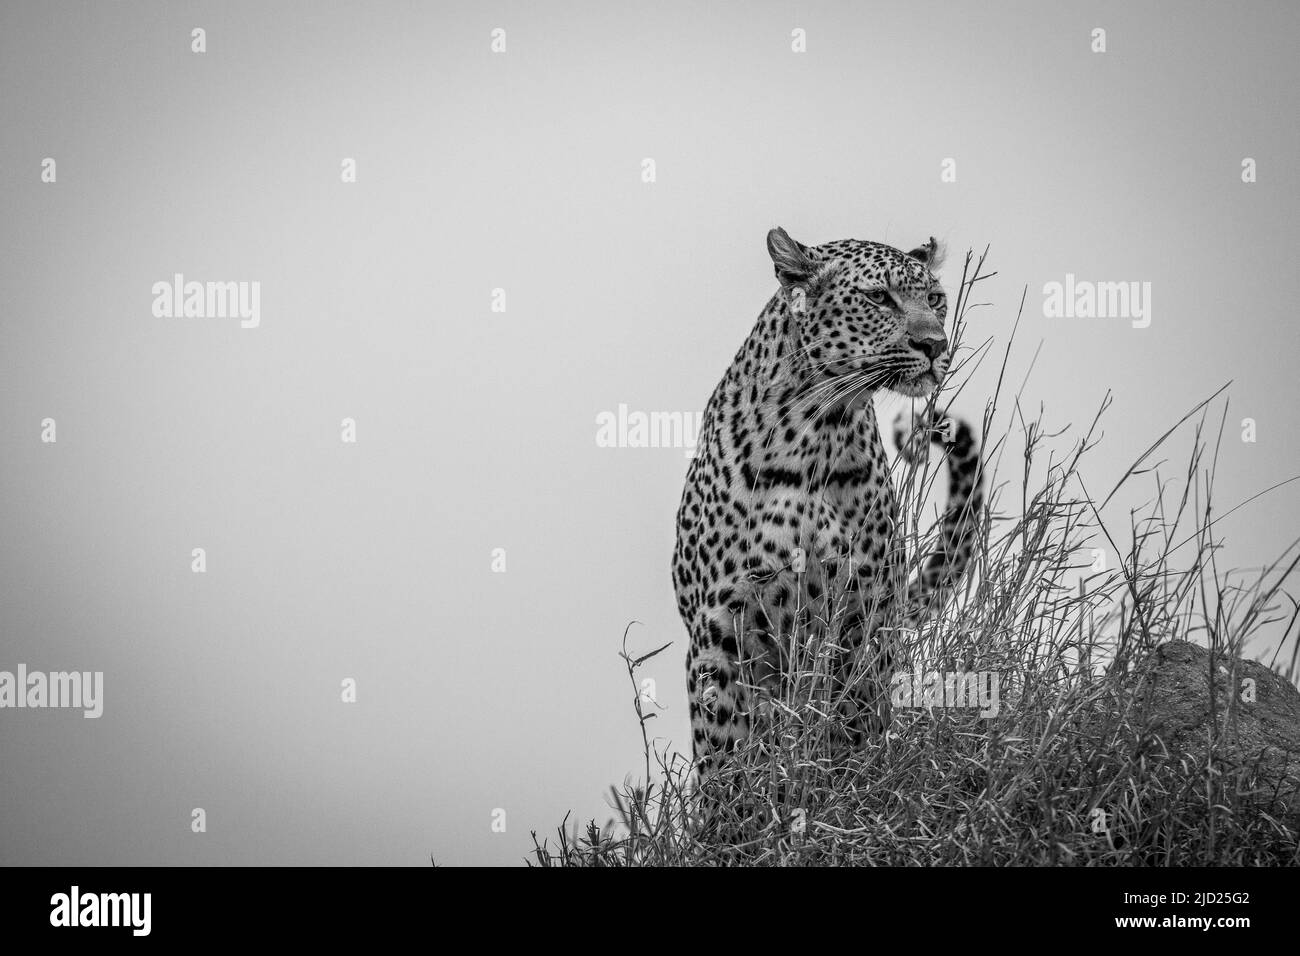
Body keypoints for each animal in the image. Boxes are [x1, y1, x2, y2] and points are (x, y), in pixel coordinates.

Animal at [676, 226, 977, 780]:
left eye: (935, 299)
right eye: (878, 297)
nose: (934, 345)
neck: (819, 431)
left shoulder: (866, 614)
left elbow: (855, 719)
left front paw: (850, 780)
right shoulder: (718, 629)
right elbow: (722, 750)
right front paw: (733, 804)